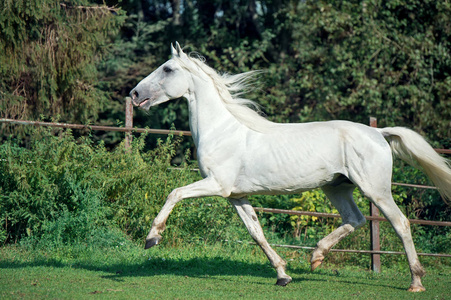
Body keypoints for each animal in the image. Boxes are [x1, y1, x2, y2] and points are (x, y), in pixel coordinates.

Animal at [131, 42, 451, 292]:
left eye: (167, 69)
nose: (134, 95)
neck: (222, 131)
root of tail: (378, 132)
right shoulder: (236, 196)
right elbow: (256, 233)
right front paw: (283, 275)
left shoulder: (216, 185)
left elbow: (174, 193)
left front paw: (152, 238)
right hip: (337, 187)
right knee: (356, 219)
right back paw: (316, 257)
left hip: (376, 189)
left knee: (400, 223)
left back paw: (416, 282)